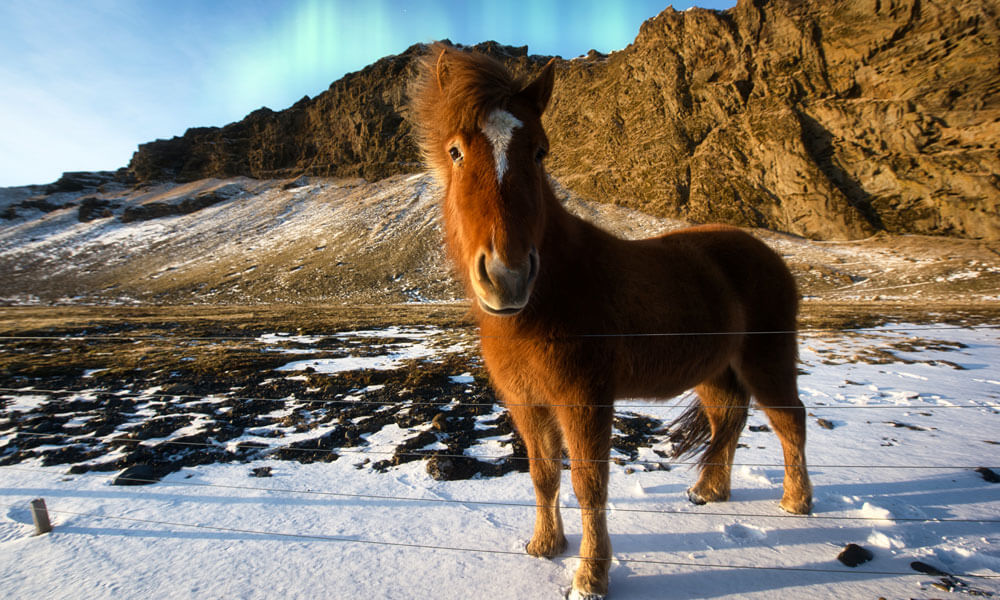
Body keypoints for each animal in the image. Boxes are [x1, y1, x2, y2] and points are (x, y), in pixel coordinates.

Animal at [410, 45, 808, 600]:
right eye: (455, 152)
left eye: (540, 152)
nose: (508, 277)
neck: (550, 296)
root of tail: (767, 253)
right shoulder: (526, 401)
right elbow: (543, 475)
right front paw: (544, 547)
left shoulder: (584, 399)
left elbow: (588, 483)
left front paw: (589, 577)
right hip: (714, 371)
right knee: (727, 418)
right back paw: (707, 491)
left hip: (766, 360)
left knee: (790, 421)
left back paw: (796, 502)